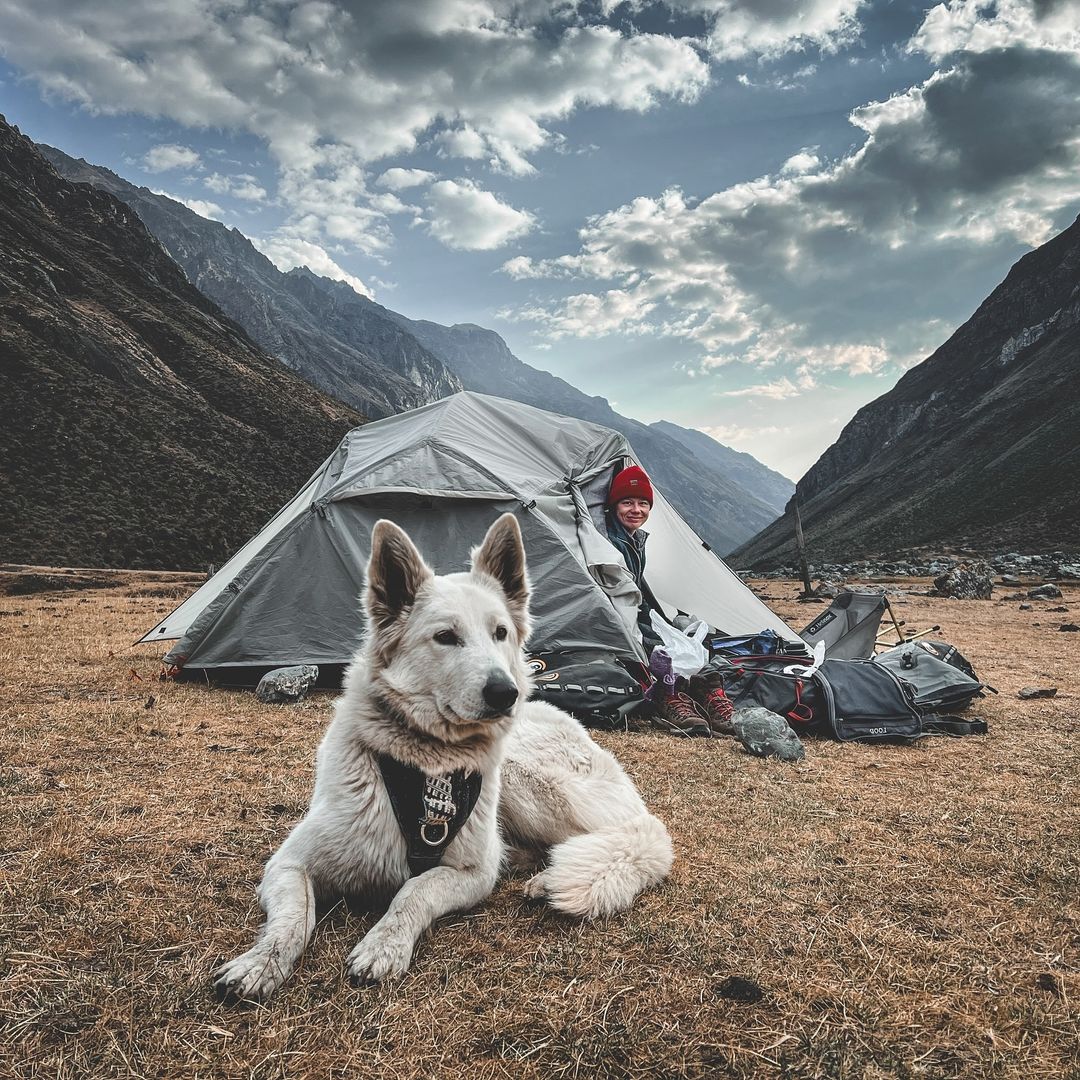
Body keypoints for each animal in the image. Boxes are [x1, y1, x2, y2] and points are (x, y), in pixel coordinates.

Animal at [213, 514, 669, 1002]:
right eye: (446, 637)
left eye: (500, 633)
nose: (506, 693)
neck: (427, 766)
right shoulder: (289, 862)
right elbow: (293, 917)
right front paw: (261, 963)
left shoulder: (471, 873)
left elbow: (413, 891)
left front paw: (384, 945)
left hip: (525, 780)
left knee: (620, 836)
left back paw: (549, 877)